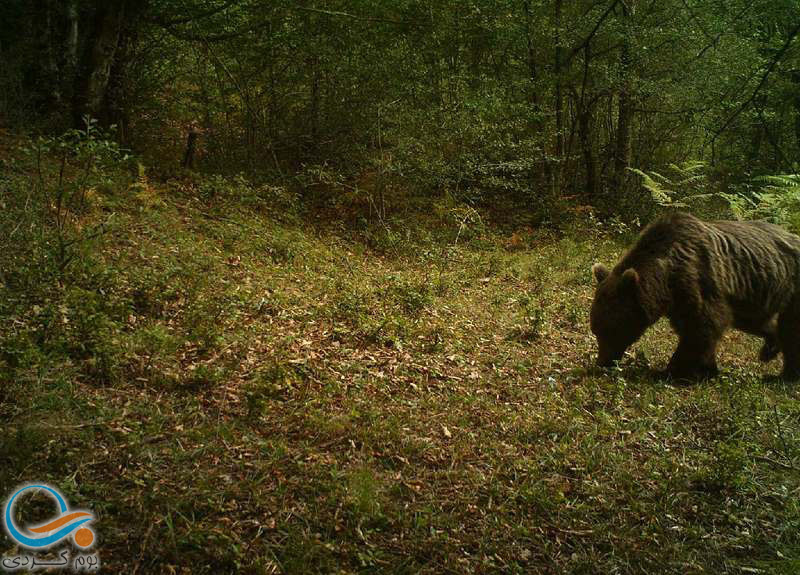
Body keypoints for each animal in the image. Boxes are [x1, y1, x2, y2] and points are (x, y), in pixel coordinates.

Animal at [588, 209, 800, 380]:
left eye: (611, 329)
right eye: (596, 329)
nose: (603, 362)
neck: (666, 278)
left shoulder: (699, 280)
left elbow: (701, 327)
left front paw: (672, 371)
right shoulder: (679, 299)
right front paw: (708, 369)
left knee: (791, 329)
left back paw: (785, 375)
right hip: (753, 293)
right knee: (759, 321)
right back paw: (769, 350)